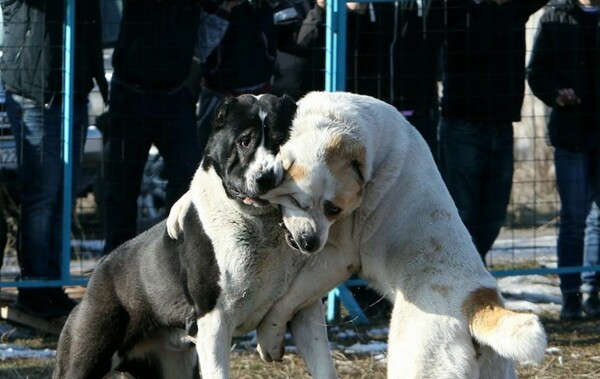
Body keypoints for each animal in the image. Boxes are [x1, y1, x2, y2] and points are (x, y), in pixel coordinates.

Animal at [53, 94, 336, 379]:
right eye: (244, 141)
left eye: (281, 142)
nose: (266, 177)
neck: (260, 226)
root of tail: (98, 271)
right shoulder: (215, 321)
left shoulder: (303, 310)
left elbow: (323, 365)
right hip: (83, 359)